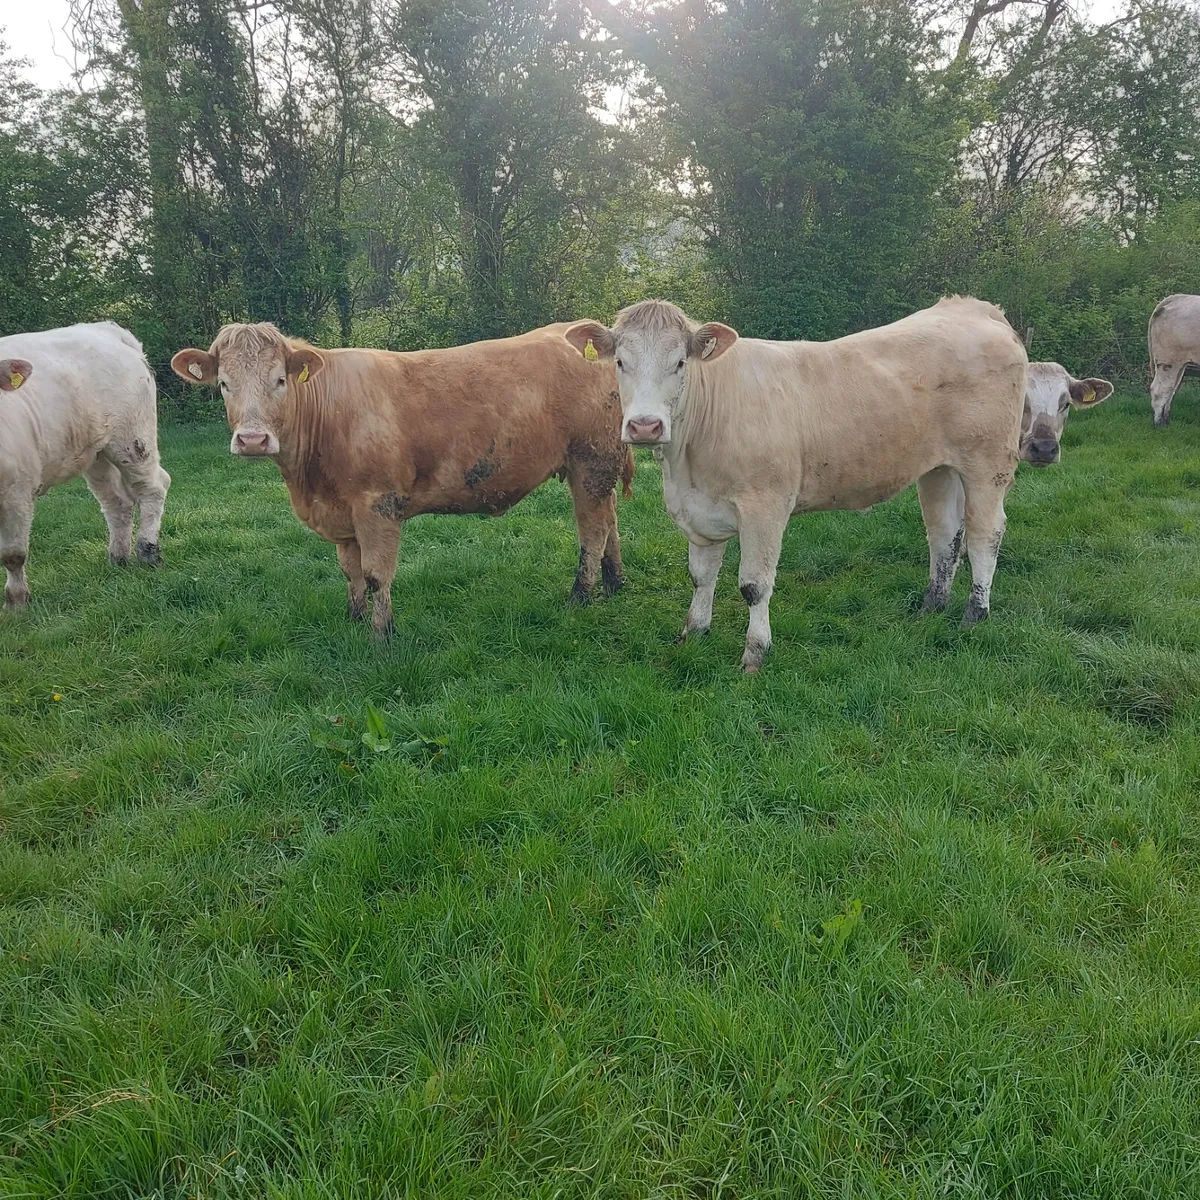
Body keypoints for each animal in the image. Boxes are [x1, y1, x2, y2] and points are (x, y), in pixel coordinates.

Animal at [0, 322, 171, 610]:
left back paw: (147, 551)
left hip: (132, 440)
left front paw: (16, 603)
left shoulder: (16, 489)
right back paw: (118, 559)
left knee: (152, 488)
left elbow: (13, 554)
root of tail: (106, 328)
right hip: (96, 453)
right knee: (117, 503)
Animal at [170, 322, 634, 640]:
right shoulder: (343, 514)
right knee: (610, 521)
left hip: (590, 461)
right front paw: (354, 619)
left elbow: (376, 574)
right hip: (598, 469)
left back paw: (581, 595)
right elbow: (350, 572)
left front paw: (382, 635)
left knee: (592, 530)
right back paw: (615, 583)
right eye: (223, 384)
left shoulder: (377, 506)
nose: (252, 439)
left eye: (280, 380)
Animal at [564, 297, 1027, 671]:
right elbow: (701, 576)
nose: (645, 426)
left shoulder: (765, 505)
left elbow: (754, 585)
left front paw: (755, 654)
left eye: (679, 362)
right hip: (939, 468)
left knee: (985, 535)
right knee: (945, 535)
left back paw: (974, 613)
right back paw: (932, 607)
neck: (686, 464)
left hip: (988, 462)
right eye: (620, 362)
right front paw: (693, 633)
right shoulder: (699, 510)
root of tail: (973, 307)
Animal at [1148, 294, 1200, 428]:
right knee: (1160, 390)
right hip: (1168, 360)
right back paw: (1159, 424)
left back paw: (1165, 420)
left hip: (1180, 364)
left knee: (1171, 389)